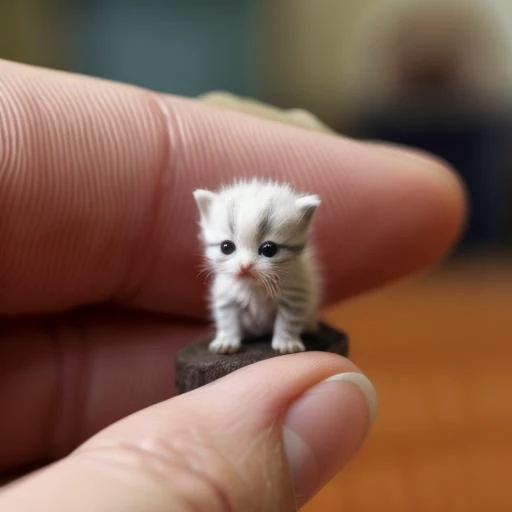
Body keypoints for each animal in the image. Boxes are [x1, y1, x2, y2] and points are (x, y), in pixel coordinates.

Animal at [192, 178, 320, 354]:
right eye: (226, 247)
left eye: (269, 249)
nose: (245, 266)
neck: (254, 287)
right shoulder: (226, 296)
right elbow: (227, 320)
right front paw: (226, 341)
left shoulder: (296, 295)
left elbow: (288, 321)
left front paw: (286, 343)